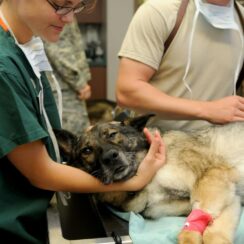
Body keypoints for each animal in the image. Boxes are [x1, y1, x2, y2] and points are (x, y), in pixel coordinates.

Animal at [54, 115, 244, 244]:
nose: (110, 157)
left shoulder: (212, 178)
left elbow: (201, 227)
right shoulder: (227, 196)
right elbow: (213, 231)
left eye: (113, 134)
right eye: (86, 150)